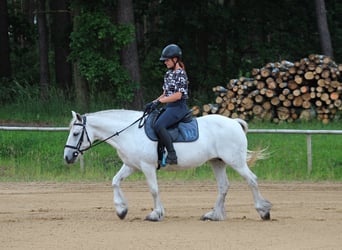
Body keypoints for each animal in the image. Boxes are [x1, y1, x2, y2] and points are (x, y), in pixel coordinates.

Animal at [63, 109, 272, 221]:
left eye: (75, 134)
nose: (67, 157)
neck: (129, 132)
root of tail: (234, 123)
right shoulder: (131, 165)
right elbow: (115, 181)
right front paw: (121, 210)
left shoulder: (146, 166)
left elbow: (154, 190)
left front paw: (155, 214)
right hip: (217, 162)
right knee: (223, 186)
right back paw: (214, 215)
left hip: (236, 162)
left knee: (252, 180)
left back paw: (263, 211)